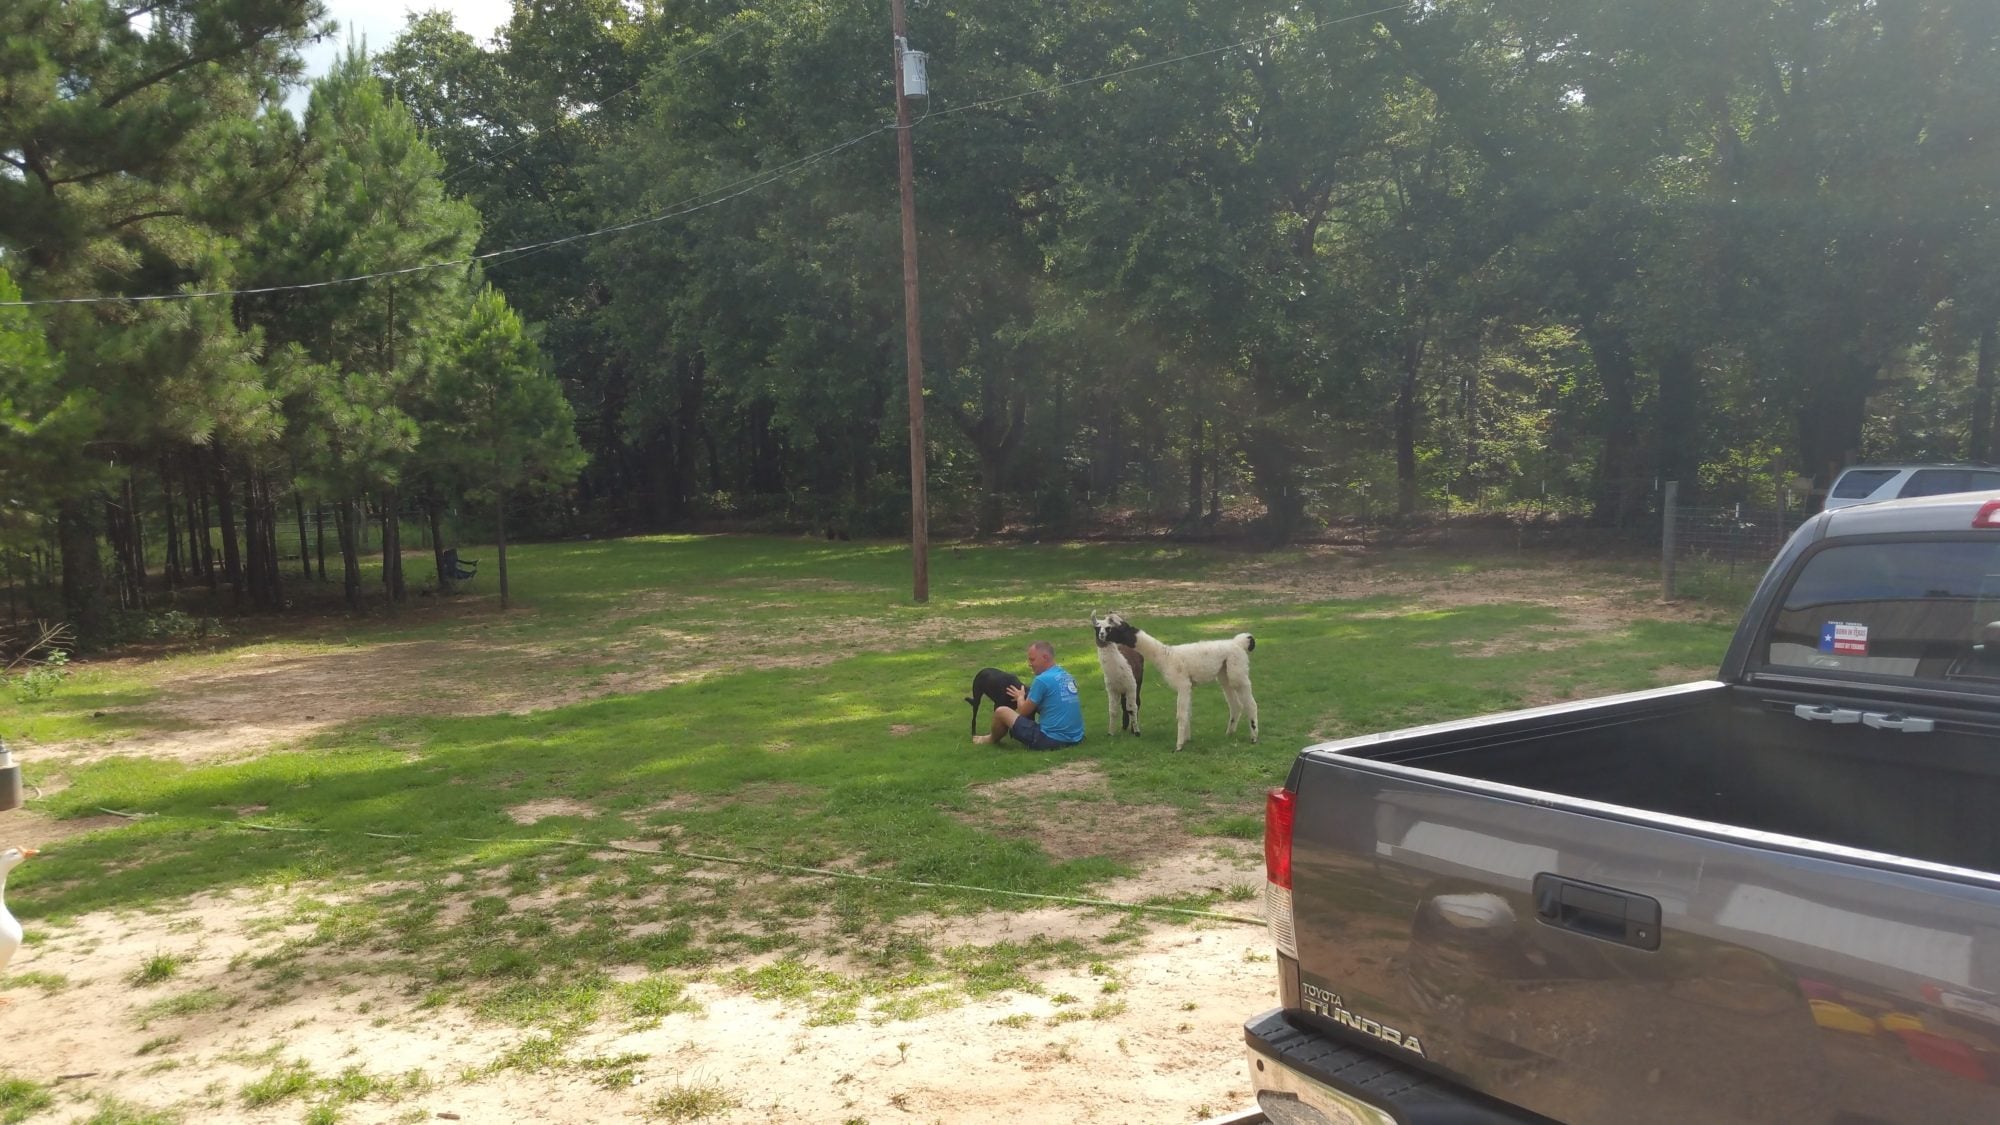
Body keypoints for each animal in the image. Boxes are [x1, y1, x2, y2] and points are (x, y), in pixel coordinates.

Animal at [1093, 612, 1256, 751]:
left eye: (1111, 628)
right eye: (1100, 627)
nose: (1102, 636)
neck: (1166, 656)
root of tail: (1239, 643)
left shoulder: (1182, 684)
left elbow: (1181, 714)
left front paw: (1178, 746)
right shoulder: (1188, 686)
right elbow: (1188, 713)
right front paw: (1187, 739)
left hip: (1238, 671)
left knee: (1251, 704)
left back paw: (1254, 738)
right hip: (1225, 675)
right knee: (1236, 705)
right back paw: (1229, 733)